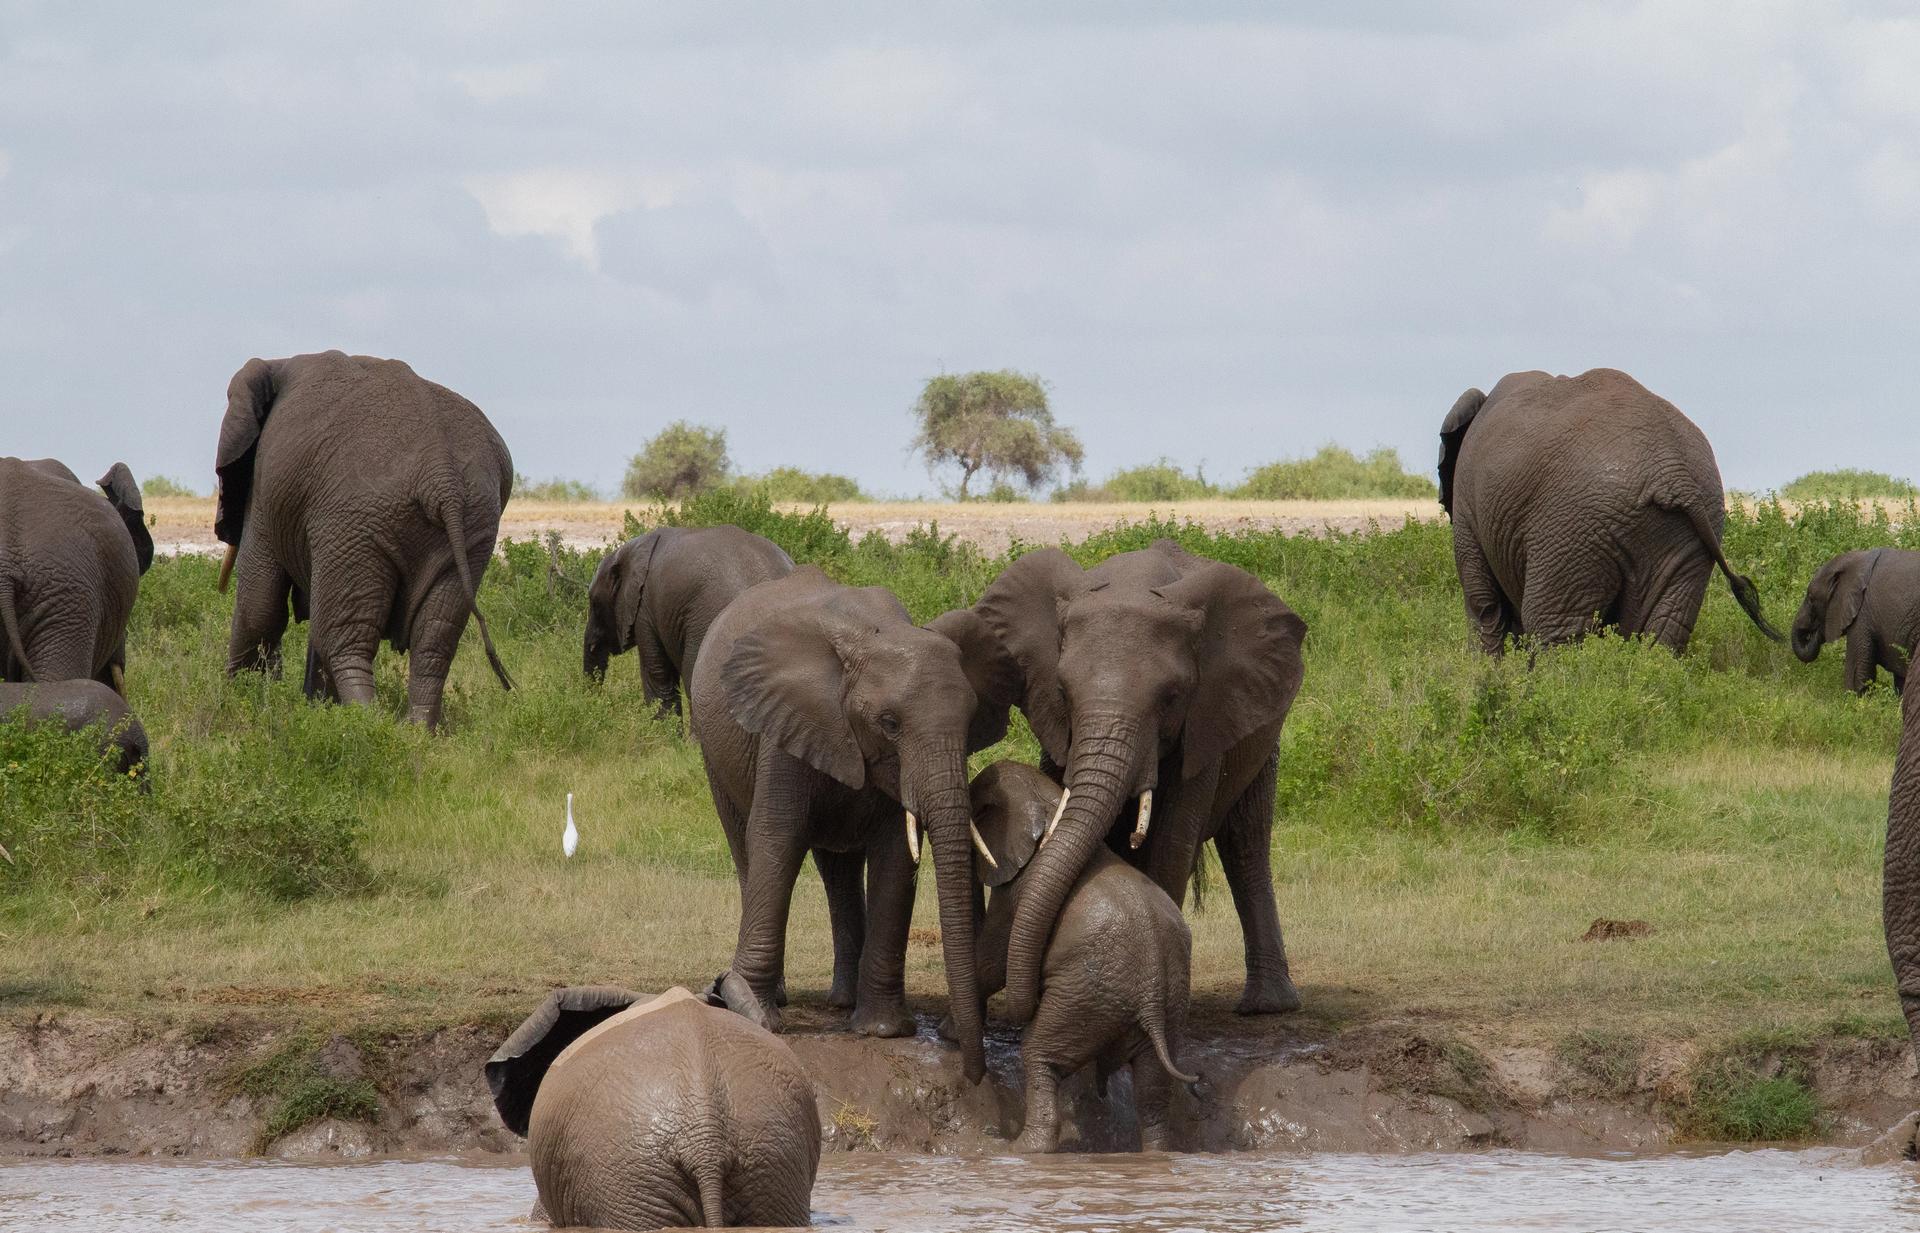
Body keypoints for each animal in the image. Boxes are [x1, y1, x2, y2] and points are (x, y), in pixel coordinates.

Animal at [214, 351, 514, 727]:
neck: (276, 363)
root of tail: (440, 472)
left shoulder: (265, 490)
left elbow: (259, 605)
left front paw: (238, 699)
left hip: (354, 521)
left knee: (343, 640)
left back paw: (364, 724)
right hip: (473, 524)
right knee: (433, 642)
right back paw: (415, 731)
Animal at [687, 566, 1017, 1084]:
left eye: (970, 723)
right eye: (889, 723)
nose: (975, 1074)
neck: (874, 636)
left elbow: (896, 857)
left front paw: (882, 1031)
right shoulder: (788, 721)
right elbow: (776, 839)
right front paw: (756, 1015)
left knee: (838, 869)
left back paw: (844, 1002)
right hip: (714, 750)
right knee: (745, 847)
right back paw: (779, 996)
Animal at [944, 538, 1308, 1026]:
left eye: (1172, 697)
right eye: (1063, 692)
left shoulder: (1206, 715)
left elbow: (1173, 840)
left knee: (1245, 844)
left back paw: (1266, 1007)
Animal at [966, 760, 1199, 1153]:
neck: (1046, 797)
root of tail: (1151, 996)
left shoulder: (1015, 893)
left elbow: (993, 960)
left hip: (1085, 998)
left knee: (1039, 1054)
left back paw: (1021, 1150)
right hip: (1169, 1006)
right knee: (1152, 1088)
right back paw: (1156, 1154)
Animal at [1438, 368, 1780, 654]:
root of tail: (1672, 471)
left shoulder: (1468, 507)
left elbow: (1484, 606)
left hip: (1572, 531)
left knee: (1554, 629)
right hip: (1692, 534)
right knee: (1662, 633)